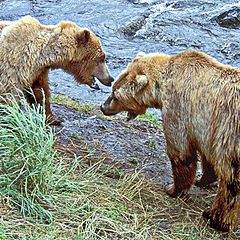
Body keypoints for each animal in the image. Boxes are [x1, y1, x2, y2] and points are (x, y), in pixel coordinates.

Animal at [100, 49, 239, 232]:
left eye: (115, 95)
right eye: (113, 88)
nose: (103, 107)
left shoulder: (179, 109)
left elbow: (181, 152)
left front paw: (172, 188)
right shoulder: (206, 130)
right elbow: (207, 158)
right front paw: (202, 179)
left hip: (230, 133)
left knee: (231, 181)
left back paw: (216, 218)